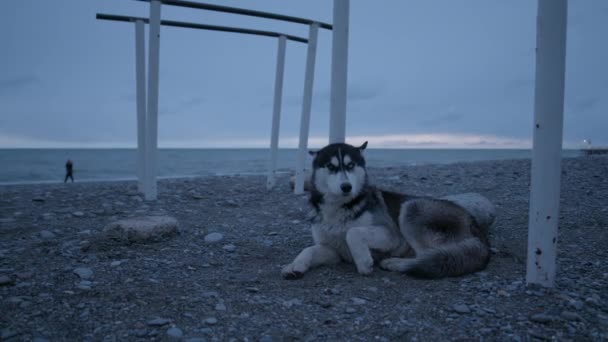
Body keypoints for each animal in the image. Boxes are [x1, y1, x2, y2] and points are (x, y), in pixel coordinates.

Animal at [282, 142, 494, 278]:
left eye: (350, 165)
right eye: (331, 167)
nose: (346, 187)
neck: (339, 207)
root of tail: (474, 225)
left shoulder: (391, 235)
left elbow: (353, 232)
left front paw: (363, 262)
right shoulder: (333, 250)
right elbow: (308, 249)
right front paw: (295, 265)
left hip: (411, 208)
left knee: (429, 257)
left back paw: (396, 263)